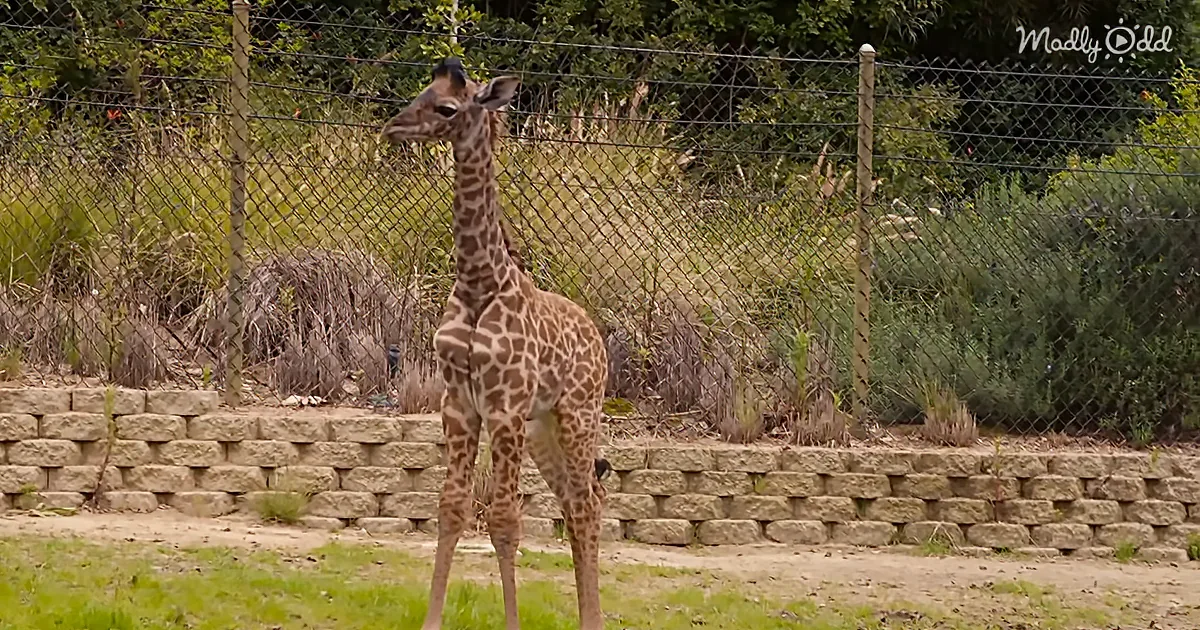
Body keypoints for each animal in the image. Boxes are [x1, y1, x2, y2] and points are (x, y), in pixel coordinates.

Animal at [380, 58, 611, 630]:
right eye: (423, 91)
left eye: (447, 108)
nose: (393, 127)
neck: (479, 281)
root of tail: (597, 337)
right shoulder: (459, 403)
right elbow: (451, 508)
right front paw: (431, 622)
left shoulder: (504, 407)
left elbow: (505, 519)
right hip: (544, 426)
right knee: (578, 500)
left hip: (577, 415)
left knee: (586, 503)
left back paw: (592, 620)